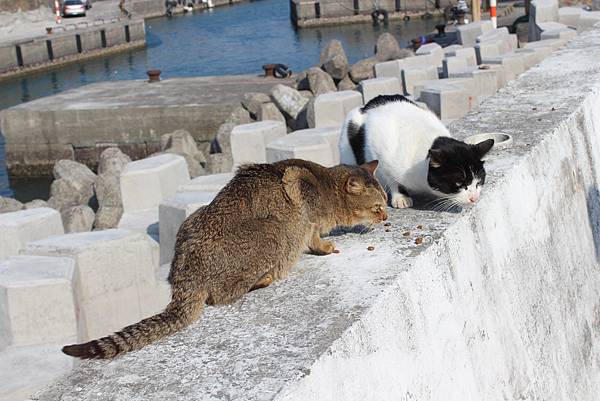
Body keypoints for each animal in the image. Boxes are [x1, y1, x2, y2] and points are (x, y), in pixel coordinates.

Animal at [340, 93, 494, 206]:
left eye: (479, 182)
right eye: (459, 184)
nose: (474, 198)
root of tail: (367, 105)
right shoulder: (380, 153)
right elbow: (392, 179)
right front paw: (400, 196)